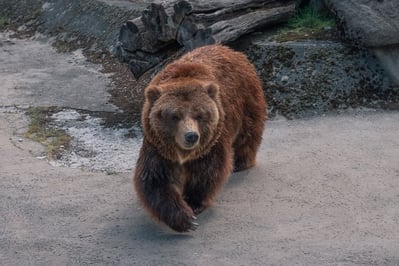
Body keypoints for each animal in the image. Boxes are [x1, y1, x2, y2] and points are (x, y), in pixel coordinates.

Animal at [133, 44, 268, 232]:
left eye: (199, 114)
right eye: (174, 116)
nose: (191, 136)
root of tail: (232, 51)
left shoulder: (212, 140)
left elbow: (208, 170)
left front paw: (193, 202)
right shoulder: (158, 146)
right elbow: (155, 179)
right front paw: (183, 218)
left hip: (246, 100)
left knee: (247, 134)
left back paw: (241, 162)